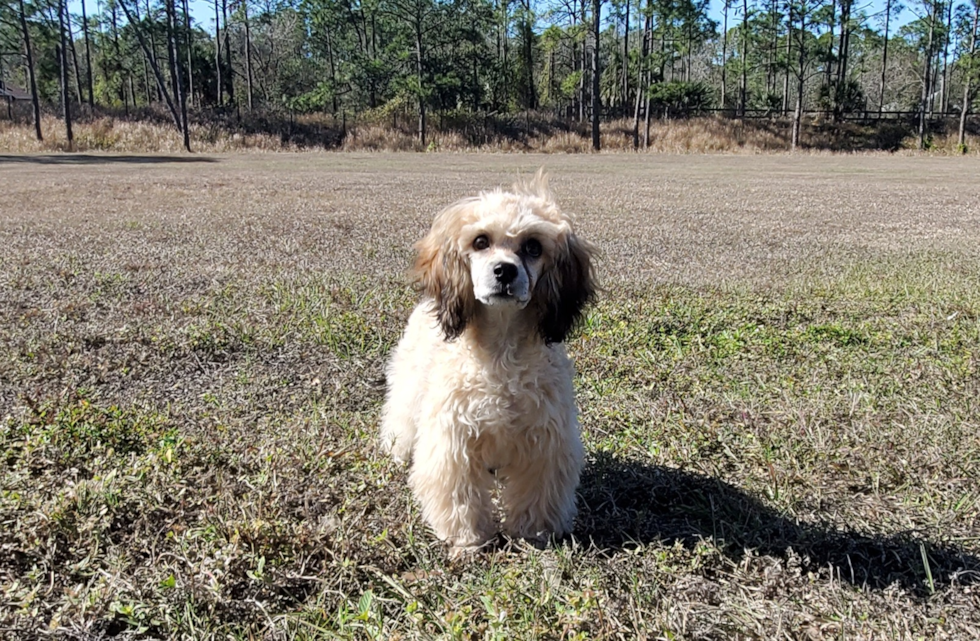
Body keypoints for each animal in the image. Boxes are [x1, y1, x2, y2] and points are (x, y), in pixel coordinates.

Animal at [380, 172, 596, 552]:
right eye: (481, 241)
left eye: (533, 247)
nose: (505, 271)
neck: (501, 351)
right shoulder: (452, 439)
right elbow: (459, 494)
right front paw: (467, 539)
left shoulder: (545, 440)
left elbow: (537, 493)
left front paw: (533, 533)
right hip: (409, 393)